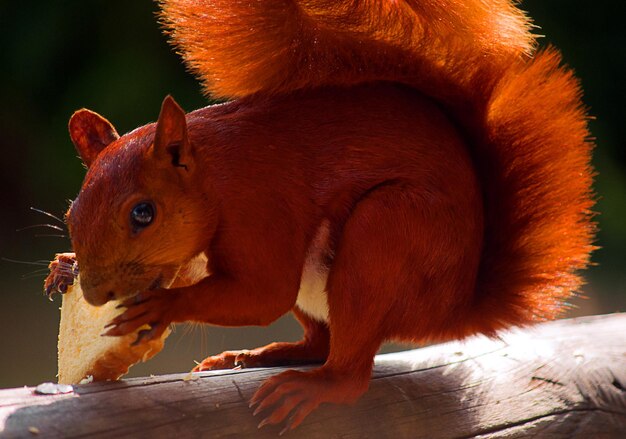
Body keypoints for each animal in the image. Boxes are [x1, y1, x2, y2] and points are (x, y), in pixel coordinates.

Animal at [45, 0, 596, 434]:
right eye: (72, 211)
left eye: (144, 213)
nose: (95, 294)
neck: (216, 176)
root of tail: (457, 309)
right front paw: (63, 266)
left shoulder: (263, 209)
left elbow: (263, 293)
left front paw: (160, 307)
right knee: (320, 341)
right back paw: (257, 356)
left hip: (386, 233)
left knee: (350, 369)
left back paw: (314, 388)